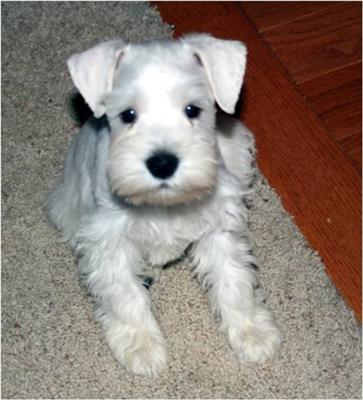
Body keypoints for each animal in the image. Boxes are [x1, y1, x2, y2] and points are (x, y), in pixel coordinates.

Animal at [47, 33, 282, 376]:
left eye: (192, 109)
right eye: (128, 114)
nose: (162, 163)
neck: (165, 201)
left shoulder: (219, 229)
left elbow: (234, 280)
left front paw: (252, 332)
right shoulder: (109, 241)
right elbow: (125, 296)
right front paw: (141, 347)